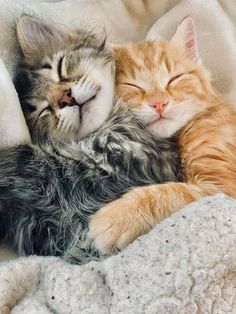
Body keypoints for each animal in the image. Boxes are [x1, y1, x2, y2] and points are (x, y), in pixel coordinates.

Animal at [0, 16, 180, 262]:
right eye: (41, 110)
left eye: (59, 67)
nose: (66, 99)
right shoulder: (42, 227)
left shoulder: (102, 167)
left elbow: (22, 157)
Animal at [89, 16, 236, 253]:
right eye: (133, 85)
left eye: (174, 79)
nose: (159, 103)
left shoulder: (224, 190)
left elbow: (172, 192)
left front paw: (119, 217)